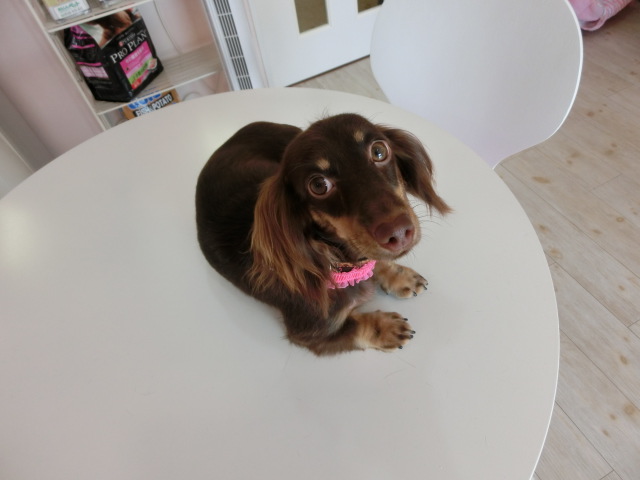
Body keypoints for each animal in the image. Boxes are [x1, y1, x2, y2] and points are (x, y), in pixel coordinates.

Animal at [195, 113, 450, 355]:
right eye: (318, 185)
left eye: (379, 151)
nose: (399, 232)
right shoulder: (312, 333)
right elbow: (358, 327)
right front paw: (386, 328)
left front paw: (398, 275)